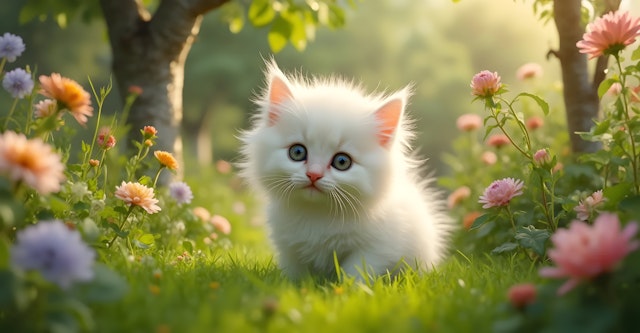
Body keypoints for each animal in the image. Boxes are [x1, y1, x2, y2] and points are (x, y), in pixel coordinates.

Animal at [238, 61, 452, 278]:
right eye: (297, 152)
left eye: (342, 161)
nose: (313, 174)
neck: (318, 215)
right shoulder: (289, 248)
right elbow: (296, 274)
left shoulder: (376, 248)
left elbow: (356, 271)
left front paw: (347, 286)